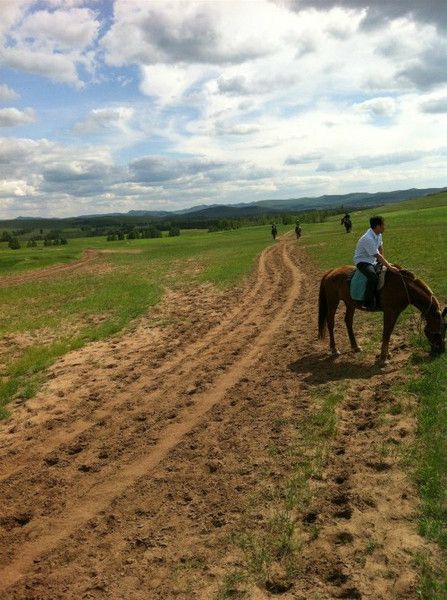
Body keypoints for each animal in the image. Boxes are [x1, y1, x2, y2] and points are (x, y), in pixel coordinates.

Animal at [318, 268, 447, 366]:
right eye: (438, 333)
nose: (441, 351)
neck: (403, 287)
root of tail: (331, 271)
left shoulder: (395, 312)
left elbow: (389, 332)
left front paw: (386, 354)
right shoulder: (390, 311)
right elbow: (386, 332)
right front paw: (383, 358)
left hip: (350, 303)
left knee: (348, 321)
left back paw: (355, 347)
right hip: (333, 302)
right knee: (331, 323)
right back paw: (334, 349)